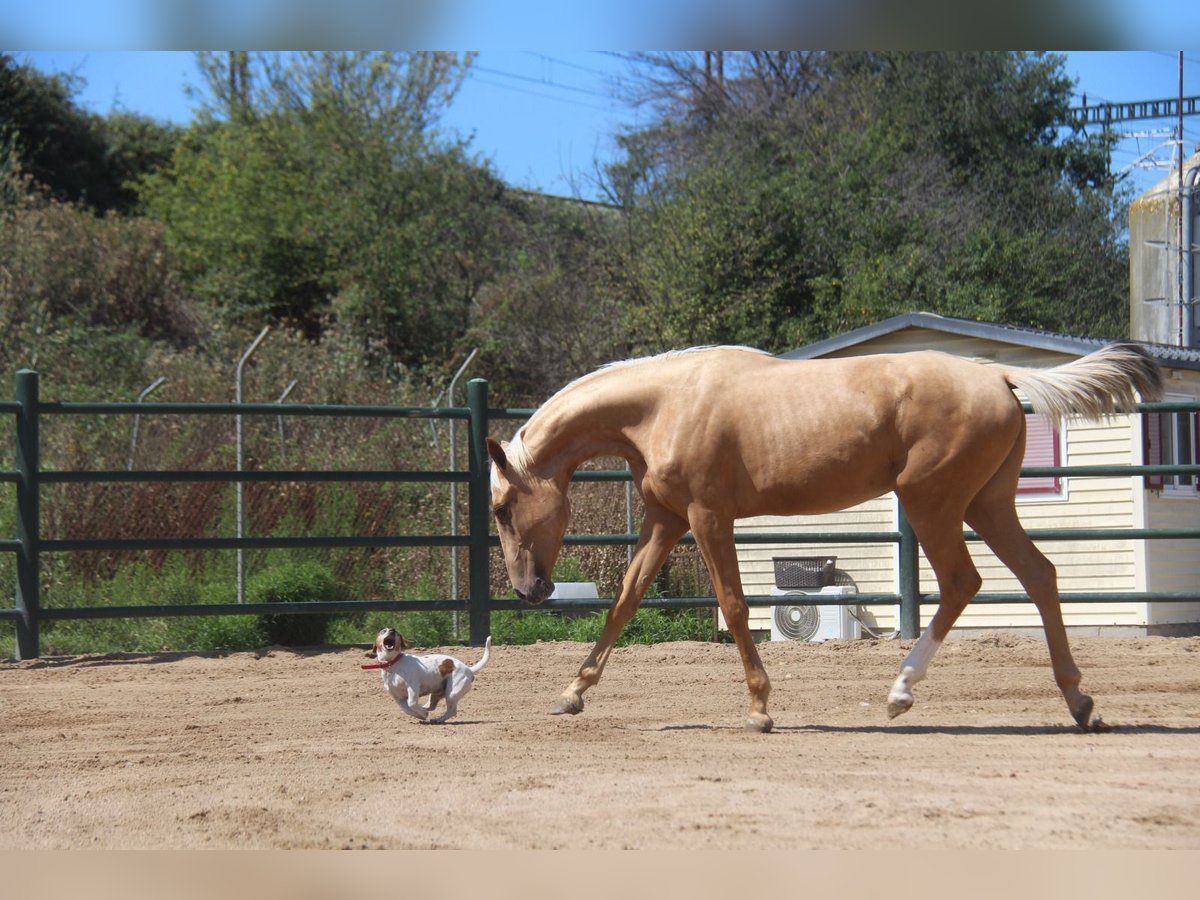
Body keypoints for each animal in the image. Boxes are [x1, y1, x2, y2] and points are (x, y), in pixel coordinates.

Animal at [357, 633, 489, 724]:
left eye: (397, 633)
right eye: (383, 630)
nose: (392, 630)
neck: (393, 665)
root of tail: (469, 669)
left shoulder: (413, 687)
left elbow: (411, 704)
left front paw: (423, 714)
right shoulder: (397, 697)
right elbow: (407, 709)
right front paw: (421, 715)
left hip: (451, 693)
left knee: (451, 711)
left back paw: (438, 720)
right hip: (436, 693)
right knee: (431, 706)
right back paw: (426, 710)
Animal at [487, 345, 1161, 734]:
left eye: (500, 505)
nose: (528, 590)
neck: (664, 405)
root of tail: (996, 374)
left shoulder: (708, 518)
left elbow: (735, 605)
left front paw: (760, 708)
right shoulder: (665, 519)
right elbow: (625, 602)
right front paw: (572, 693)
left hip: (934, 504)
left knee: (962, 582)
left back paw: (899, 693)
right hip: (987, 506)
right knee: (1040, 575)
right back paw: (1079, 704)